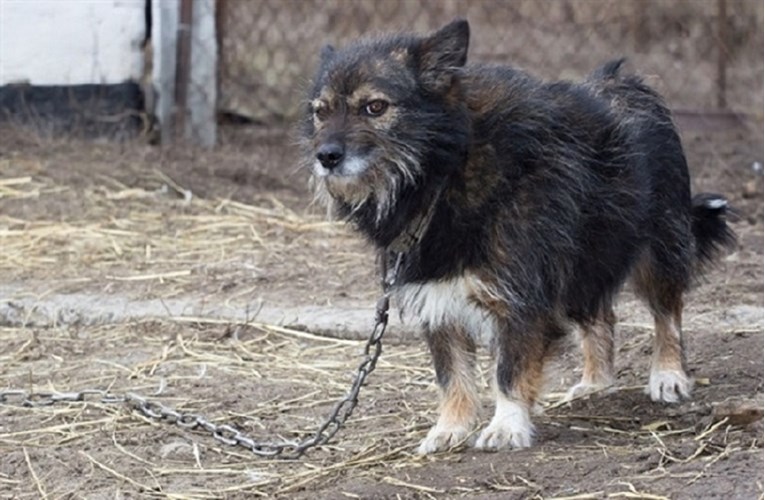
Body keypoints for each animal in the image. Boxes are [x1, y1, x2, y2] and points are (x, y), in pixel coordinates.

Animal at [300, 19, 736, 454]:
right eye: (320, 112)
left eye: (374, 106)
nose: (326, 157)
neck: (446, 170)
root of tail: (625, 80)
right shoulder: (436, 297)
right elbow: (451, 374)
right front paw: (450, 428)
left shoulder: (523, 296)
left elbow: (508, 370)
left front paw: (507, 425)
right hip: (589, 257)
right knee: (600, 315)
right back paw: (596, 381)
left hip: (659, 249)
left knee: (667, 315)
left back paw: (668, 375)